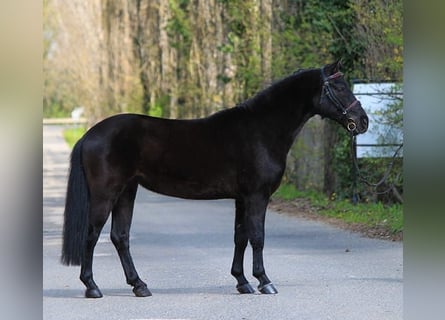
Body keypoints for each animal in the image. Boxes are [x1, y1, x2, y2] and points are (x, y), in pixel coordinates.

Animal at [62, 61, 368, 298]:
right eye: (340, 88)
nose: (363, 121)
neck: (261, 130)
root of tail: (90, 135)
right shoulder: (257, 196)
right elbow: (258, 237)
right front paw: (265, 282)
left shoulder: (242, 199)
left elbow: (240, 237)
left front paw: (243, 282)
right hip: (106, 194)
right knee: (92, 235)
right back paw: (92, 287)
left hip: (127, 191)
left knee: (120, 237)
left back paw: (140, 286)